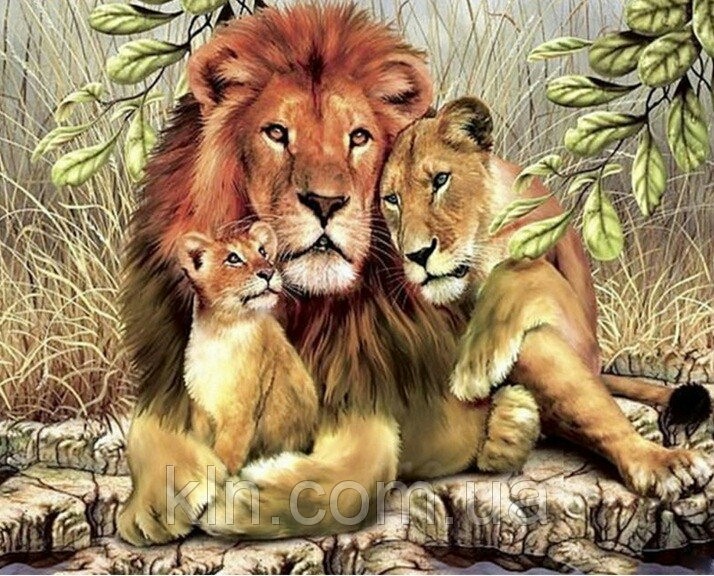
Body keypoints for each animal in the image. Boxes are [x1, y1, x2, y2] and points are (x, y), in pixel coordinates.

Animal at [379, 96, 713, 499]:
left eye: (440, 180)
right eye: (392, 199)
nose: (416, 255)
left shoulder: (574, 320)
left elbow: (519, 266)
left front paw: (476, 367)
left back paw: (660, 462)